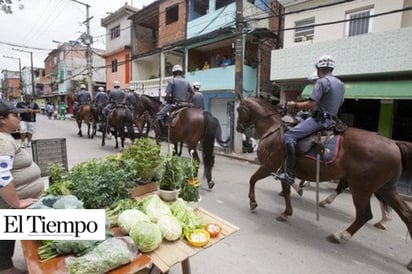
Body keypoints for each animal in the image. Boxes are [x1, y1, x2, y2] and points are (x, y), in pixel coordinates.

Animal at [237, 95, 412, 270]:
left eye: (238, 109)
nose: (238, 128)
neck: (271, 129)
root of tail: (394, 143)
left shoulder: (268, 167)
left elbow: (252, 180)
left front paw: (253, 202)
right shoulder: (283, 170)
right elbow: (286, 191)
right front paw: (286, 212)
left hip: (361, 188)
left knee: (364, 214)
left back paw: (340, 235)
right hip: (386, 188)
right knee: (406, 214)